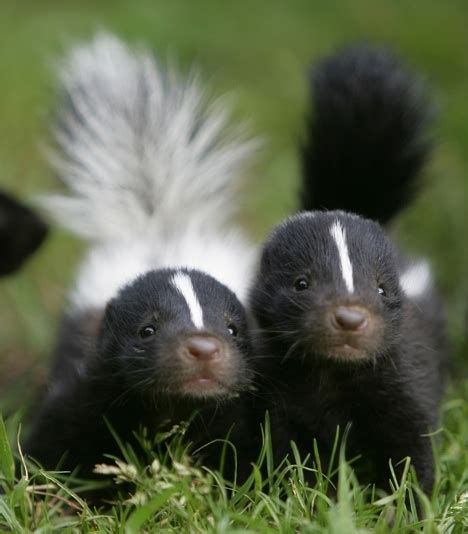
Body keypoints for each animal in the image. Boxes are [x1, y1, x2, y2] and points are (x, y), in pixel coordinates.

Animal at [250, 211, 448, 496]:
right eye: (301, 283)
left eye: (381, 288)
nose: (350, 318)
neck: (335, 370)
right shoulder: (281, 389)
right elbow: (293, 453)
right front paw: (316, 497)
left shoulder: (405, 376)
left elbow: (413, 446)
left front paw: (410, 502)